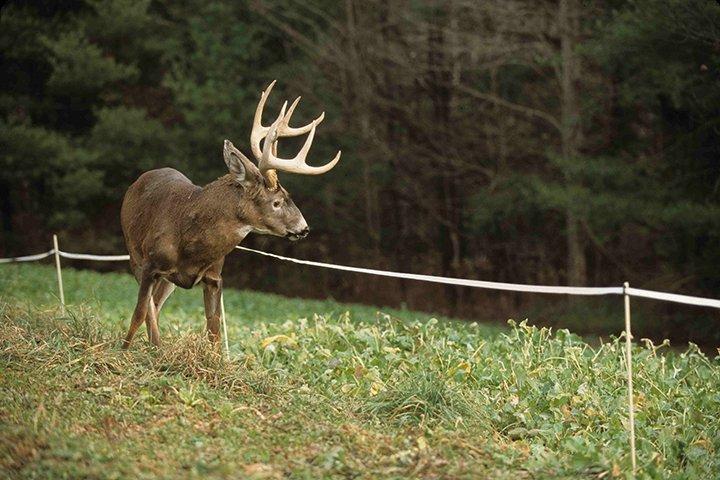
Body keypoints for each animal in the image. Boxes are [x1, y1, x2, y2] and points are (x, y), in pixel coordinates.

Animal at [119, 80, 342, 346]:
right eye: (277, 202)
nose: (304, 227)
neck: (190, 240)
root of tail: (138, 180)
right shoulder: (150, 264)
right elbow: (138, 313)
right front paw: (123, 350)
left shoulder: (215, 276)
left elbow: (214, 331)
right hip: (134, 253)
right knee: (149, 307)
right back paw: (155, 345)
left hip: (166, 280)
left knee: (157, 303)